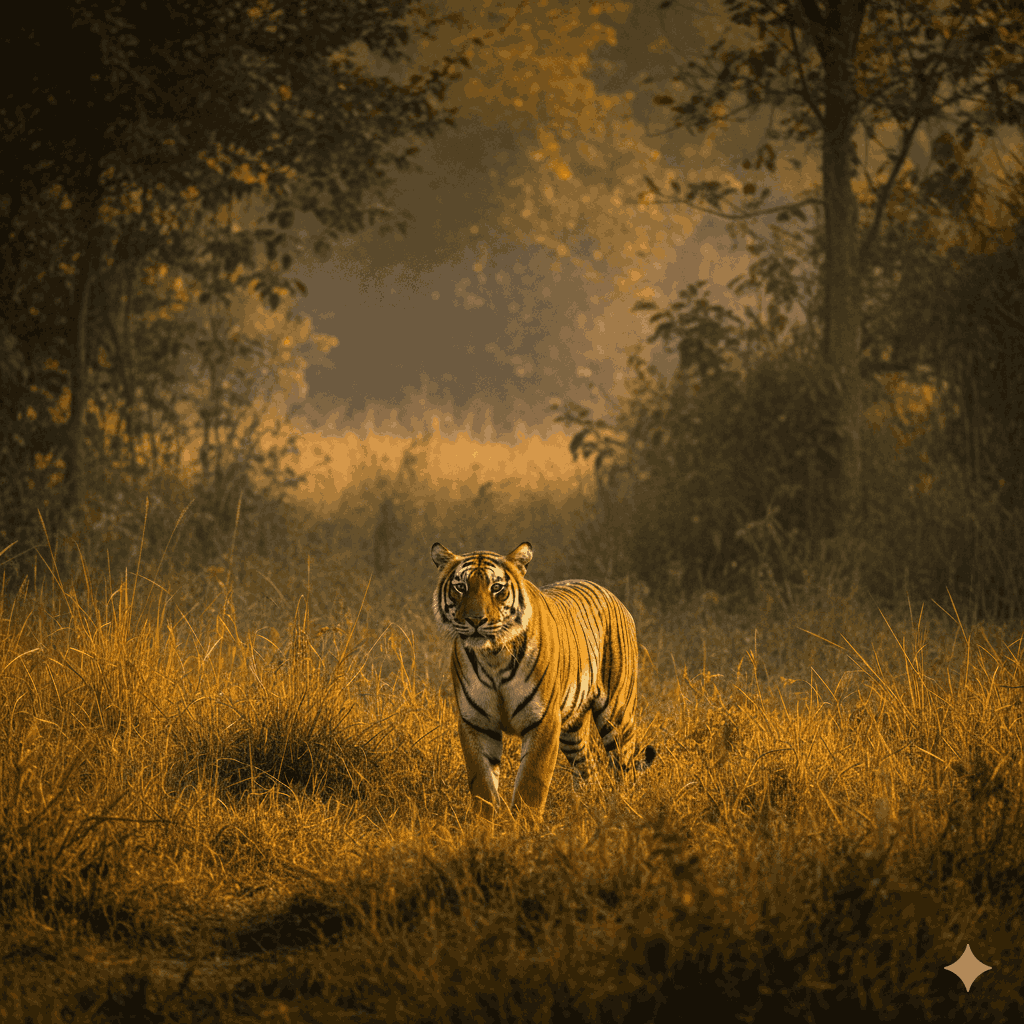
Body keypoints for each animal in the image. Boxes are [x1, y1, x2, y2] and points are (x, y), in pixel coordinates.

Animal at [431, 541, 656, 823]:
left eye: (497, 588)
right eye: (460, 587)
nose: (475, 620)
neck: (493, 656)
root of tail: (610, 593)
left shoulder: (543, 720)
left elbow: (532, 781)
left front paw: (524, 827)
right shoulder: (476, 722)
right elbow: (482, 783)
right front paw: (485, 825)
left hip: (617, 713)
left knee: (625, 767)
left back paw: (626, 809)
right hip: (572, 728)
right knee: (587, 768)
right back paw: (585, 809)